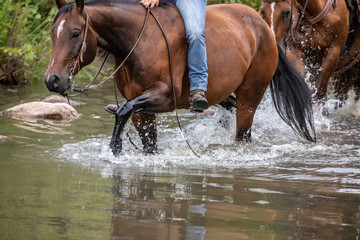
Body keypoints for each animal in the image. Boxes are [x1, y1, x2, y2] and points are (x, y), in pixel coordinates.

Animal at [44, 0, 316, 155]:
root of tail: (262, 26)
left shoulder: (163, 97)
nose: (52, 80)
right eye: (52, 32)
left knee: (243, 132)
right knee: (228, 106)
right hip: (222, 94)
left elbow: (123, 110)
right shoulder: (142, 109)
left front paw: (115, 150)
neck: (138, 41)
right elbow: (142, 135)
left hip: (251, 95)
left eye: (75, 33)